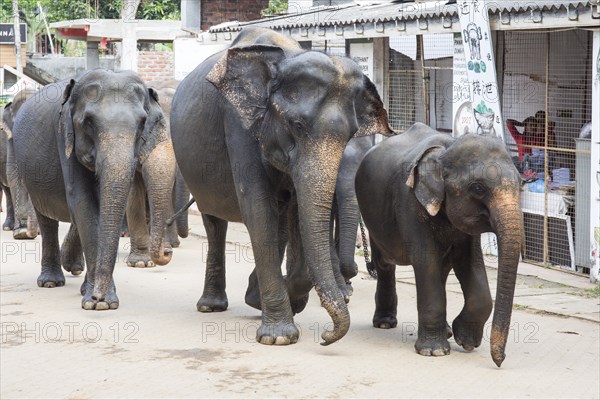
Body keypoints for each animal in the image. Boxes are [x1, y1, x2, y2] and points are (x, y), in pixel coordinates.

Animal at [12, 69, 177, 310]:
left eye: (142, 122)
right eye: (88, 122)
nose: (168, 251)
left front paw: (97, 299)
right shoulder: (64, 137)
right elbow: (83, 202)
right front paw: (99, 303)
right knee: (47, 219)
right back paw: (51, 282)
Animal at [170, 27, 394, 346]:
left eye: (352, 133)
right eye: (296, 125)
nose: (326, 336)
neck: (285, 58)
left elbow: (297, 211)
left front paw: (283, 302)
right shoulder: (239, 123)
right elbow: (258, 208)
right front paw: (278, 336)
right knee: (215, 222)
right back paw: (211, 306)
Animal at [358, 122, 524, 368]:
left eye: (521, 184)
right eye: (478, 188)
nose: (500, 360)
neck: (446, 149)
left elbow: (470, 263)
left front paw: (465, 341)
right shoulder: (410, 202)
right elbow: (426, 261)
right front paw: (434, 352)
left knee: (443, 270)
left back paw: (445, 331)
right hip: (373, 218)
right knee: (385, 264)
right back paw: (385, 323)